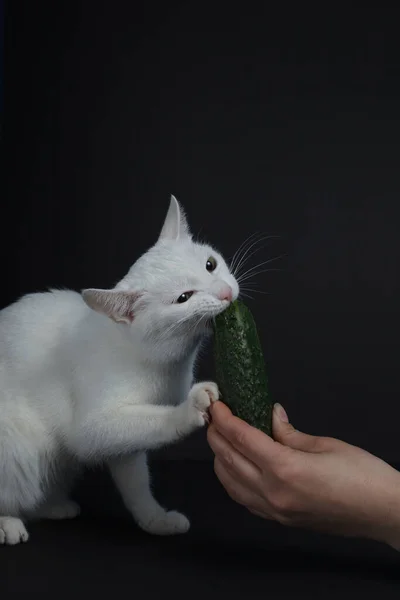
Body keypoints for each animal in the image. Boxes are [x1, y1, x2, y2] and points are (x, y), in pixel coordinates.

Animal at [0, 196, 238, 544]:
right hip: (17, 442)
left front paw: (155, 520)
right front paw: (190, 409)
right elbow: (152, 422)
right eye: (183, 298)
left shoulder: (123, 442)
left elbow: (135, 482)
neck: (165, 362)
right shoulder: (94, 425)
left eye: (210, 264)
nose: (225, 293)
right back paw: (8, 522)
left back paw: (54, 506)